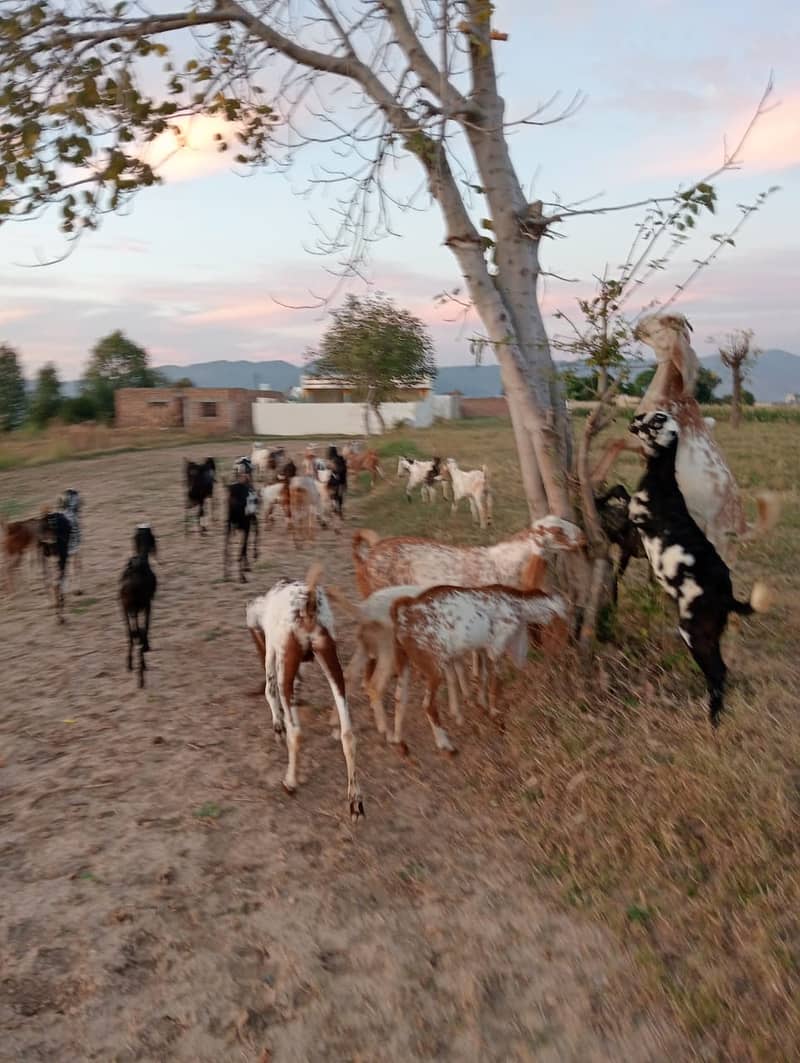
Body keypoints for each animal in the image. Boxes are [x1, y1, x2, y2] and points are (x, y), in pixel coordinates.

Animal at [246, 565, 365, 820]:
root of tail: (307, 604)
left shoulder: (272, 655)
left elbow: (269, 691)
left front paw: (277, 726)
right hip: (331, 663)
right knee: (348, 734)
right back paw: (355, 800)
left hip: (288, 665)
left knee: (296, 732)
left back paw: (290, 781)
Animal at [390, 586, 569, 752]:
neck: (519, 604)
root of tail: (404, 614)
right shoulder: (496, 647)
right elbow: (495, 681)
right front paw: (495, 713)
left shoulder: (481, 648)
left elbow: (482, 677)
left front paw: (481, 706)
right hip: (434, 665)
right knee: (428, 705)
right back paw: (445, 745)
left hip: (404, 660)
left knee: (399, 698)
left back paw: (400, 743)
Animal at [590, 310, 777, 565]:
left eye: (663, 321)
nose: (638, 326)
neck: (669, 397)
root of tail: (741, 526)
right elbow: (614, 443)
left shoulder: (648, 443)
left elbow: (615, 442)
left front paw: (594, 478)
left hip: (719, 542)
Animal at [628, 410, 769, 727]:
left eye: (656, 421)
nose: (634, 417)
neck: (663, 483)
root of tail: (728, 597)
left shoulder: (636, 518)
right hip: (710, 633)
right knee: (721, 671)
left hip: (695, 632)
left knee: (717, 671)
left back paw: (713, 719)